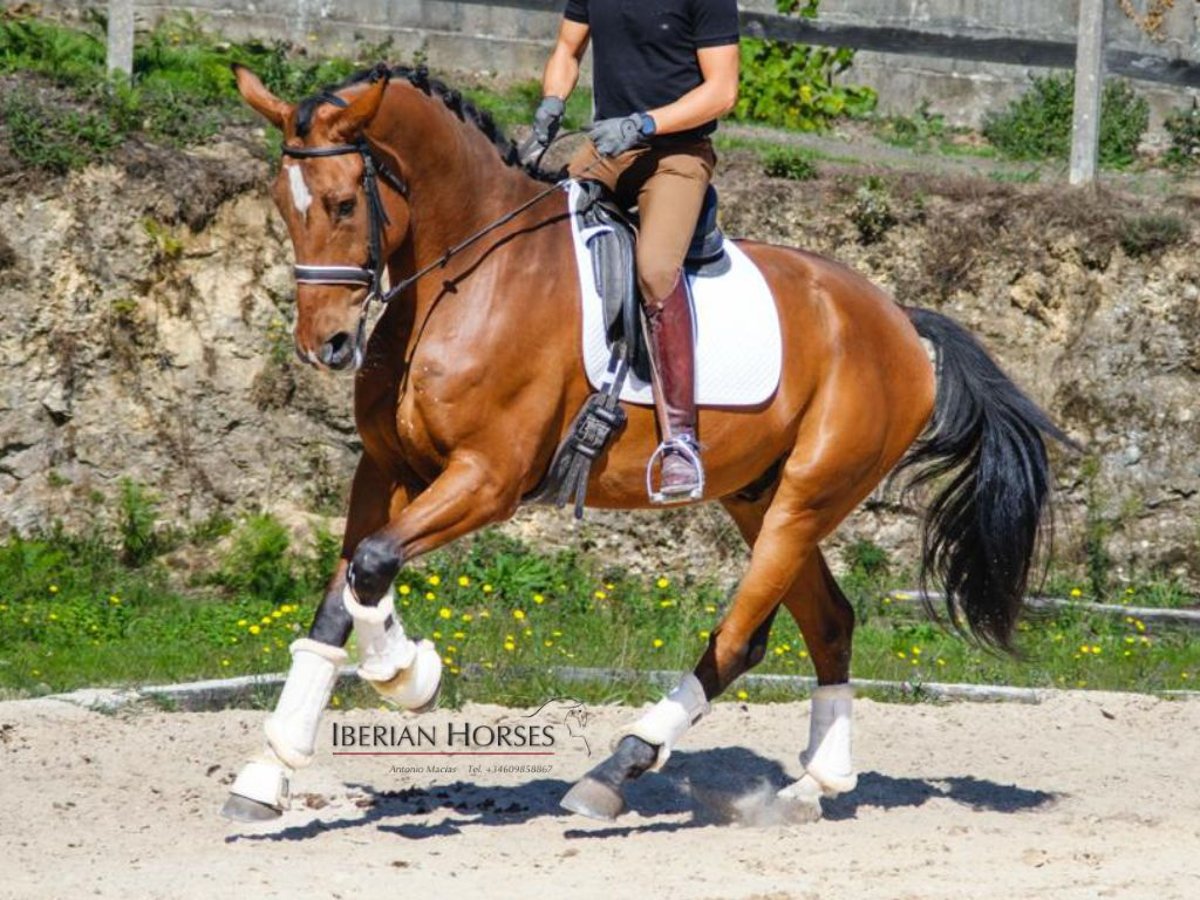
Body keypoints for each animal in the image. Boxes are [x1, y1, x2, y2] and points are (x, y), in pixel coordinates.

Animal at [220, 63, 1070, 823]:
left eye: (341, 203)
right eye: (284, 206)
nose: (325, 346)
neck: (463, 276)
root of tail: (898, 321)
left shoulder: (489, 479)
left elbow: (372, 565)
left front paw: (408, 673)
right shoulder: (386, 468)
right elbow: (341, 597)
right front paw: (268, 773)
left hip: (806, 497)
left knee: (740, 639)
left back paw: (617, 769)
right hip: (759, 497)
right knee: (828, 621)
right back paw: (808, 790)